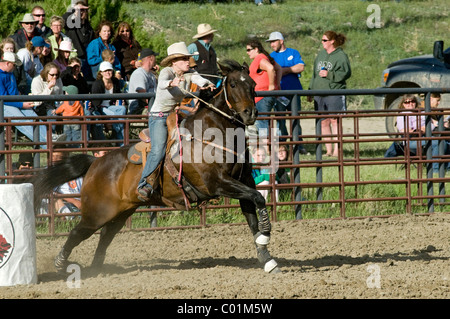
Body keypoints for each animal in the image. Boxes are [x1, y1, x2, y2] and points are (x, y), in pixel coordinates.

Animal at [33, 60, 282, 276]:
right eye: (233, 84)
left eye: (252, 84)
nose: (250, 114)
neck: (212, 134)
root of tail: (95, 163)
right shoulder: (218, 183)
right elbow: (258, 198)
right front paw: (265, 235)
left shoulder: (242, 181)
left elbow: (252, 214)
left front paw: (267, 258)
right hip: (96, 213)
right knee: (78, 232)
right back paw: (60, 264)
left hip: (122, 212)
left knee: (105, 236)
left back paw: (96, 269)